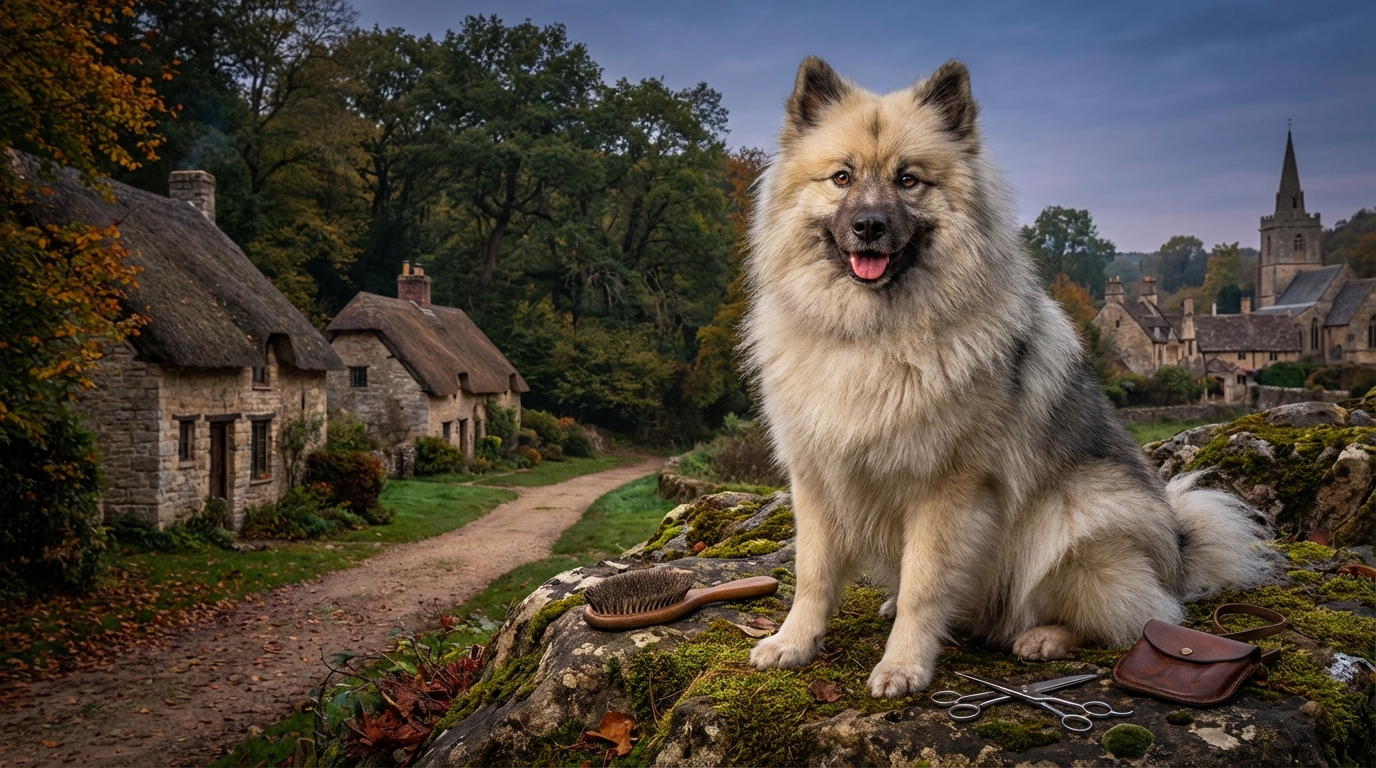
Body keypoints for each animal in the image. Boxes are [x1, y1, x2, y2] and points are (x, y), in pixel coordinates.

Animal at [742, 57, 1273, 698]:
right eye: (842, 177)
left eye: (908, 180)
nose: (868, 226)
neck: (872, 337)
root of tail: (1176, 553)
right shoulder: (816, 476)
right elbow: (813, 574)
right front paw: (794, 642)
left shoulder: (946, 486)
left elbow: (924, 584)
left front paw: (903, 665)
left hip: (1073, 518)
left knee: (1133, 615)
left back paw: (1044, 637)